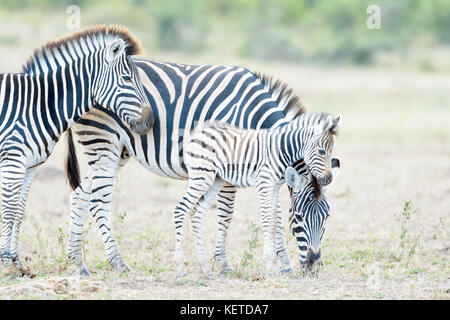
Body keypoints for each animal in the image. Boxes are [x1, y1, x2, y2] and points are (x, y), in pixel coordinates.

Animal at [0, 25, 153, 276]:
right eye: (127, 79)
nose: (150, 122)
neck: (37, 105)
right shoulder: (13, 161)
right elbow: (9, 210)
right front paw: (5, 265)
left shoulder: (29, 166)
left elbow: (19, 211)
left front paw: (17, 263)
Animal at [176, 114, 342, 276]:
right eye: (299, 217)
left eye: (327, 217)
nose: (328, 179)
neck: (282, 149)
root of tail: (197, 133)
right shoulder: (264, 183)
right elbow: (267, 221)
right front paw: (270, 266)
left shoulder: (274, 187)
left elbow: (274, 222)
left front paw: (276, 265)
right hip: (202, 176)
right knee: (181, 209)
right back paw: (181, 269)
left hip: (215, 180)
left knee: (196, 213)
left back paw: (205, 268)